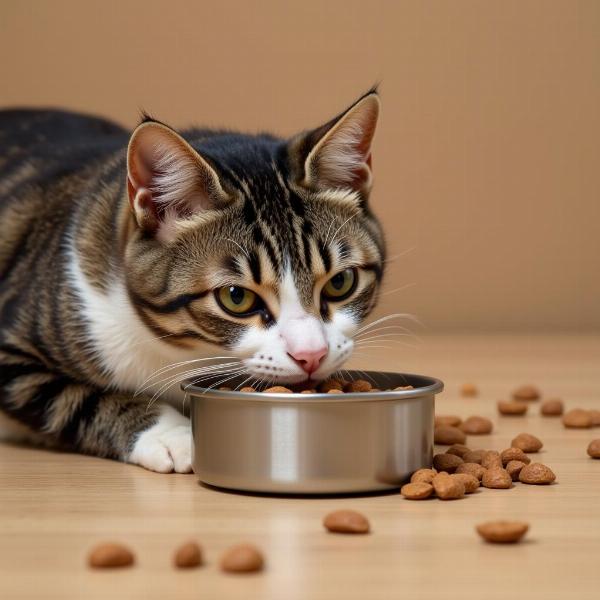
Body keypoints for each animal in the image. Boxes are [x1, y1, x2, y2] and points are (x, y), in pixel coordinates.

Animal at [0, 89, 384, 474]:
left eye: (340, 282)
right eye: (236, 297)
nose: (311, 355)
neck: (186, 351)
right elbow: (78, 399)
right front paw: (173, 435)